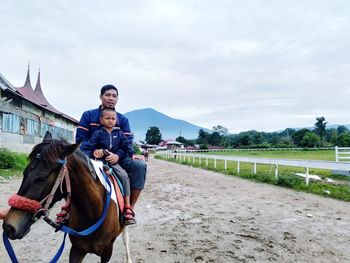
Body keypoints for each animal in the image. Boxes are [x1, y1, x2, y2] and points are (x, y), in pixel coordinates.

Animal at [2, 133, 131, 263]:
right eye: (24, 173)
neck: (94, 214)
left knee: (125, 237)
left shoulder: (107, 252)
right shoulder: (77, 249)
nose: (9, 227)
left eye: (41, 178)